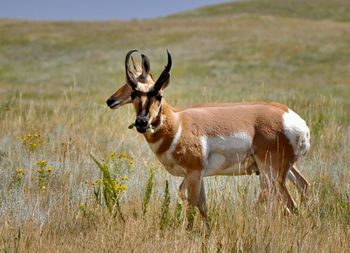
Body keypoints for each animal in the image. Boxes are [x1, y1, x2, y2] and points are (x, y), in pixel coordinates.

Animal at [106, 50, 308, 228]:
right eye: (134, 93)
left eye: (159, 95)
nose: (141, 122)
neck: (179, 123)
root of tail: (294, 120)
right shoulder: (196, 175)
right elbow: (201, 206)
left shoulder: (194, 173)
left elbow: (191, 207)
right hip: (284, 169)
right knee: (300, 188)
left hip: (270, 171)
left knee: (281, 200)